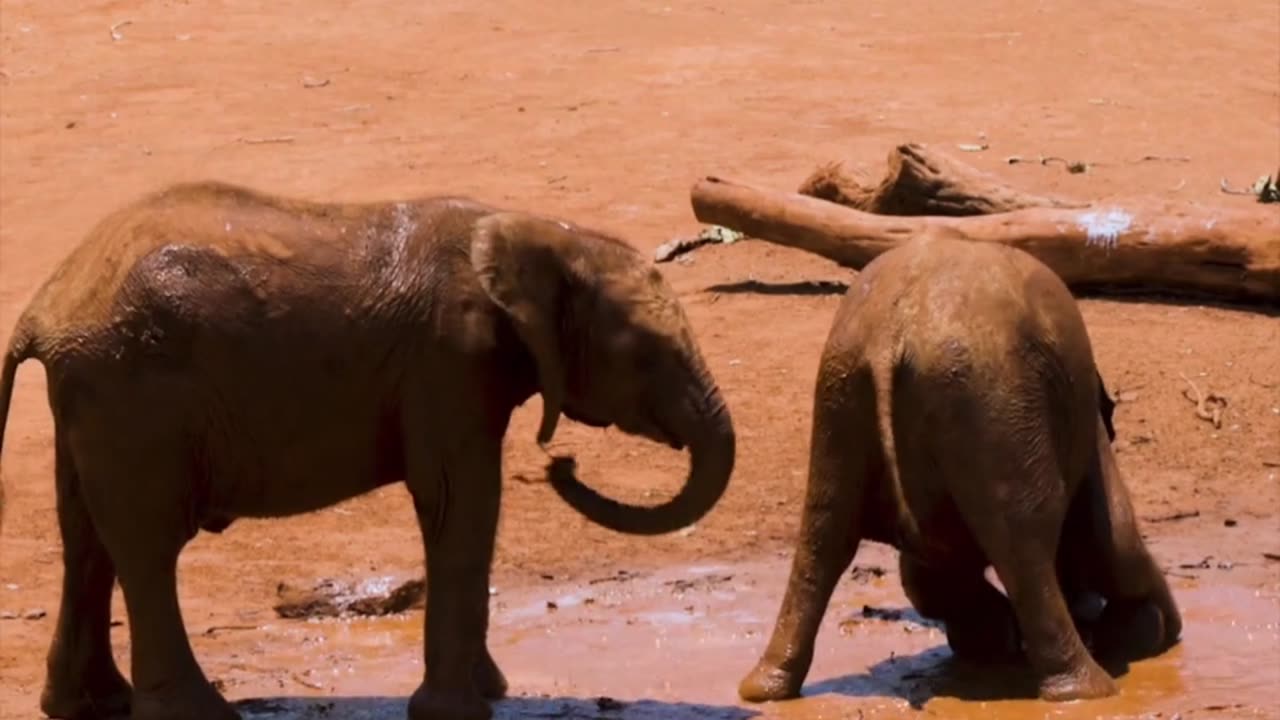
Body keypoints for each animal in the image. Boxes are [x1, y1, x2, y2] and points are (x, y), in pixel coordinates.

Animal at [0, 180, 737, 717]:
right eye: (646, 353)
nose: (561, 462)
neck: (536, 232)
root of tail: (44, 308)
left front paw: (490, 693)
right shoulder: (447, 362)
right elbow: (459, 503)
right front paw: (459, 712)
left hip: (99, 399)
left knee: (88, 541)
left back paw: (88, 705)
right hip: (133, 395)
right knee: (147, 549)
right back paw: (197, 715)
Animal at [742, 234, 1177, 702]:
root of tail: (889, 334)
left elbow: (924, 571)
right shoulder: (1085, 429)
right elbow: (1112, 540)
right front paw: (1155, 632)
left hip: (841, 391)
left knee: (823, 536)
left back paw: (764, 690)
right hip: (990, 399)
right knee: (1027, 536)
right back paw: (1087, 690)